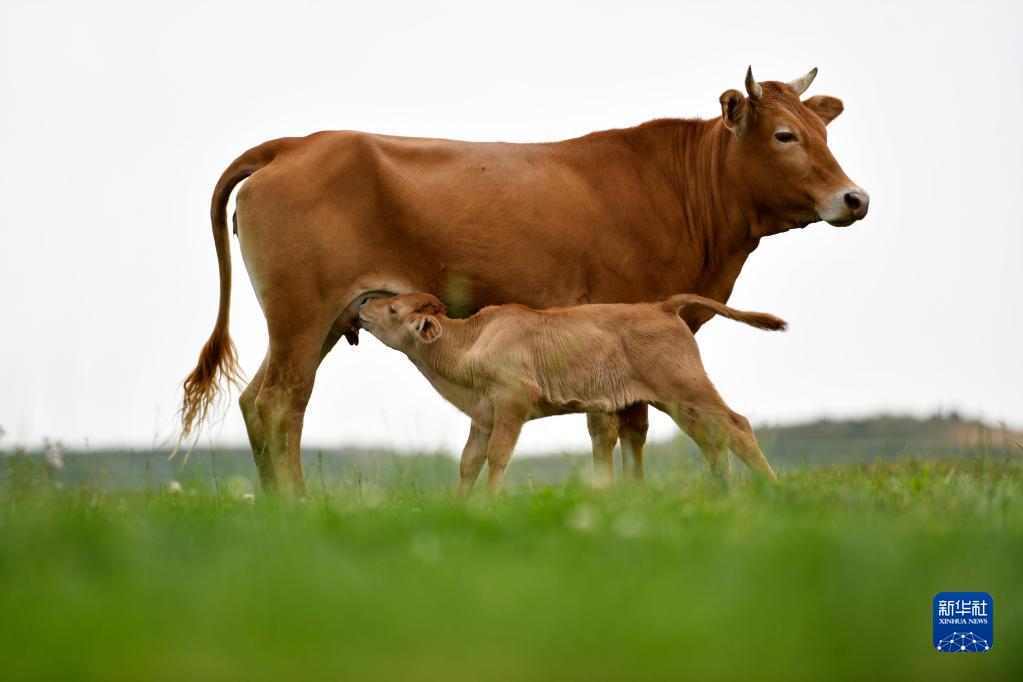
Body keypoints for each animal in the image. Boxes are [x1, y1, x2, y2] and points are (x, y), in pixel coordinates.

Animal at [358, 294, 781, 496]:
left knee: (737, 425)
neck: (472, 341)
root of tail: (662, 306)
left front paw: (489, 504)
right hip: (676, 401)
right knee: (712, 438)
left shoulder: (512, 403)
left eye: (392, 308)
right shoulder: (483, 416)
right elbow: (469, 462)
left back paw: (774, 490)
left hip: (687, 387)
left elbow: (497, 457)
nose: (363, 303)